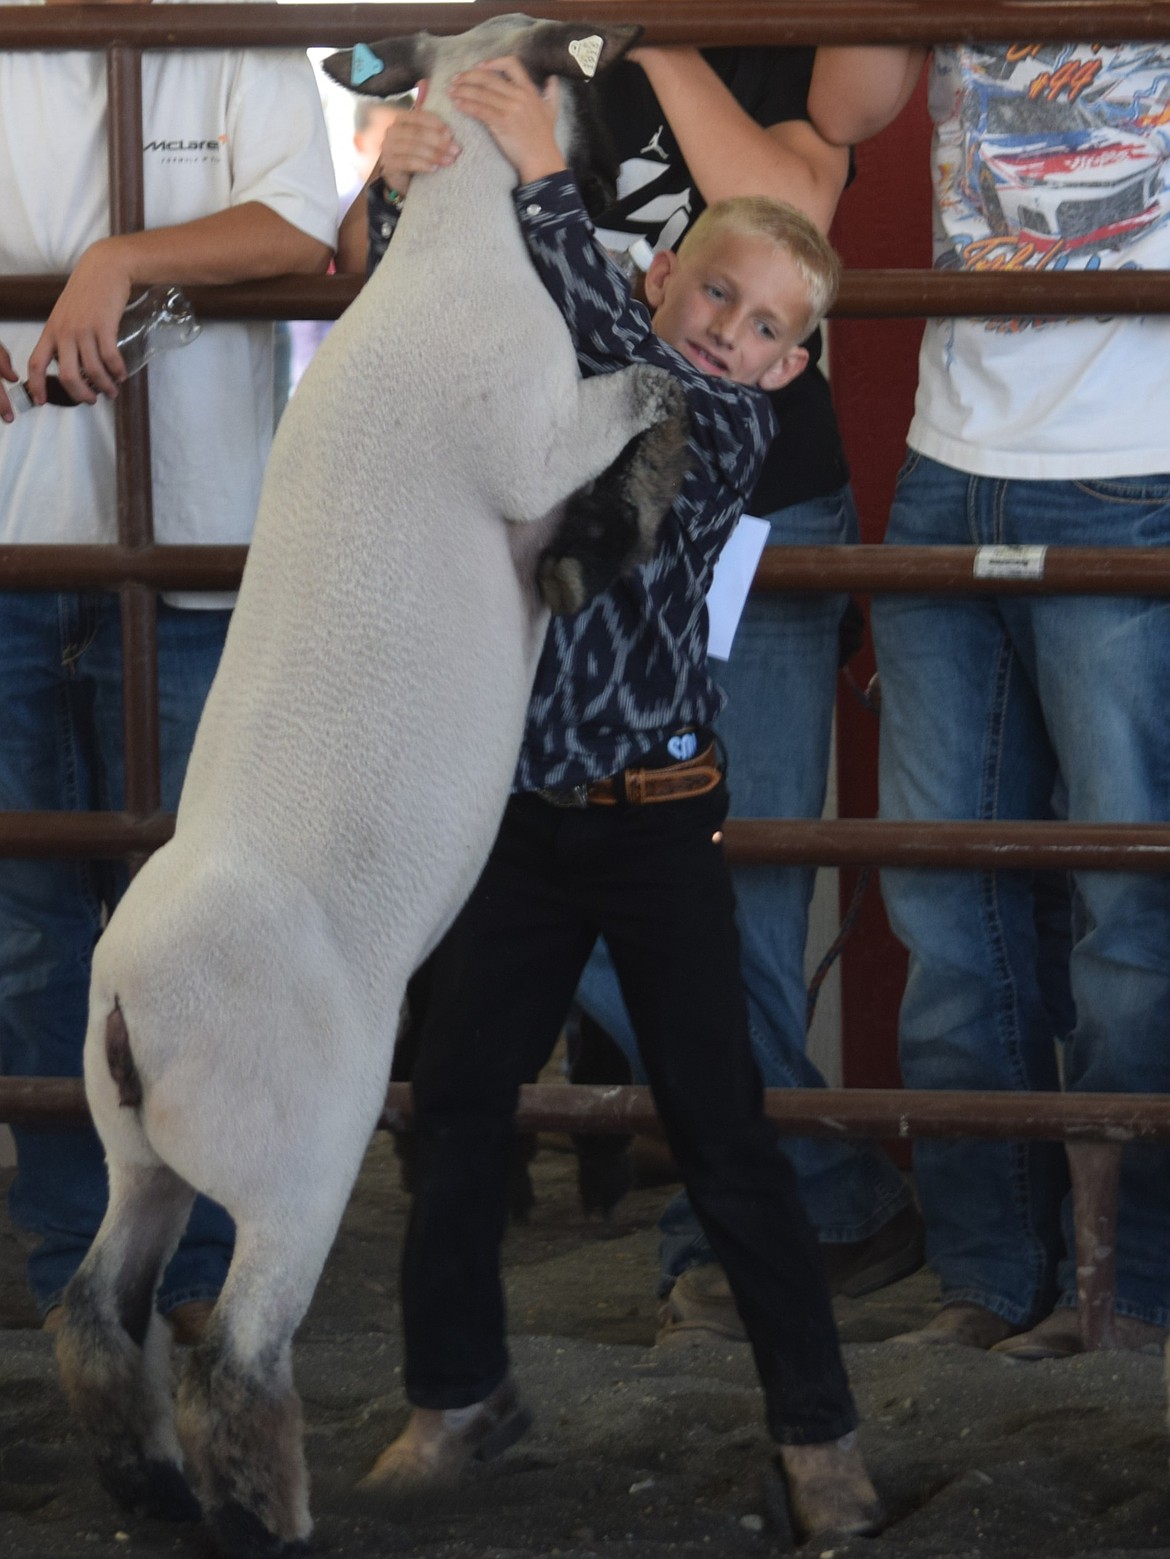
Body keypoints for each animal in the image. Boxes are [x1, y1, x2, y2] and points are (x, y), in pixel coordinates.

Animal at [53, 13, 689, 1557]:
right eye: (588, 72)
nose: (641, 165)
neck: (456, 241)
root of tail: (126, 1004)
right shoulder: (537, 427)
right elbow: (641, 395)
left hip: (139, 1151)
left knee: (99, 1311)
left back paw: (152, 1490)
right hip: (299, 1150)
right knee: (233, 1347)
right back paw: (264, 1511)